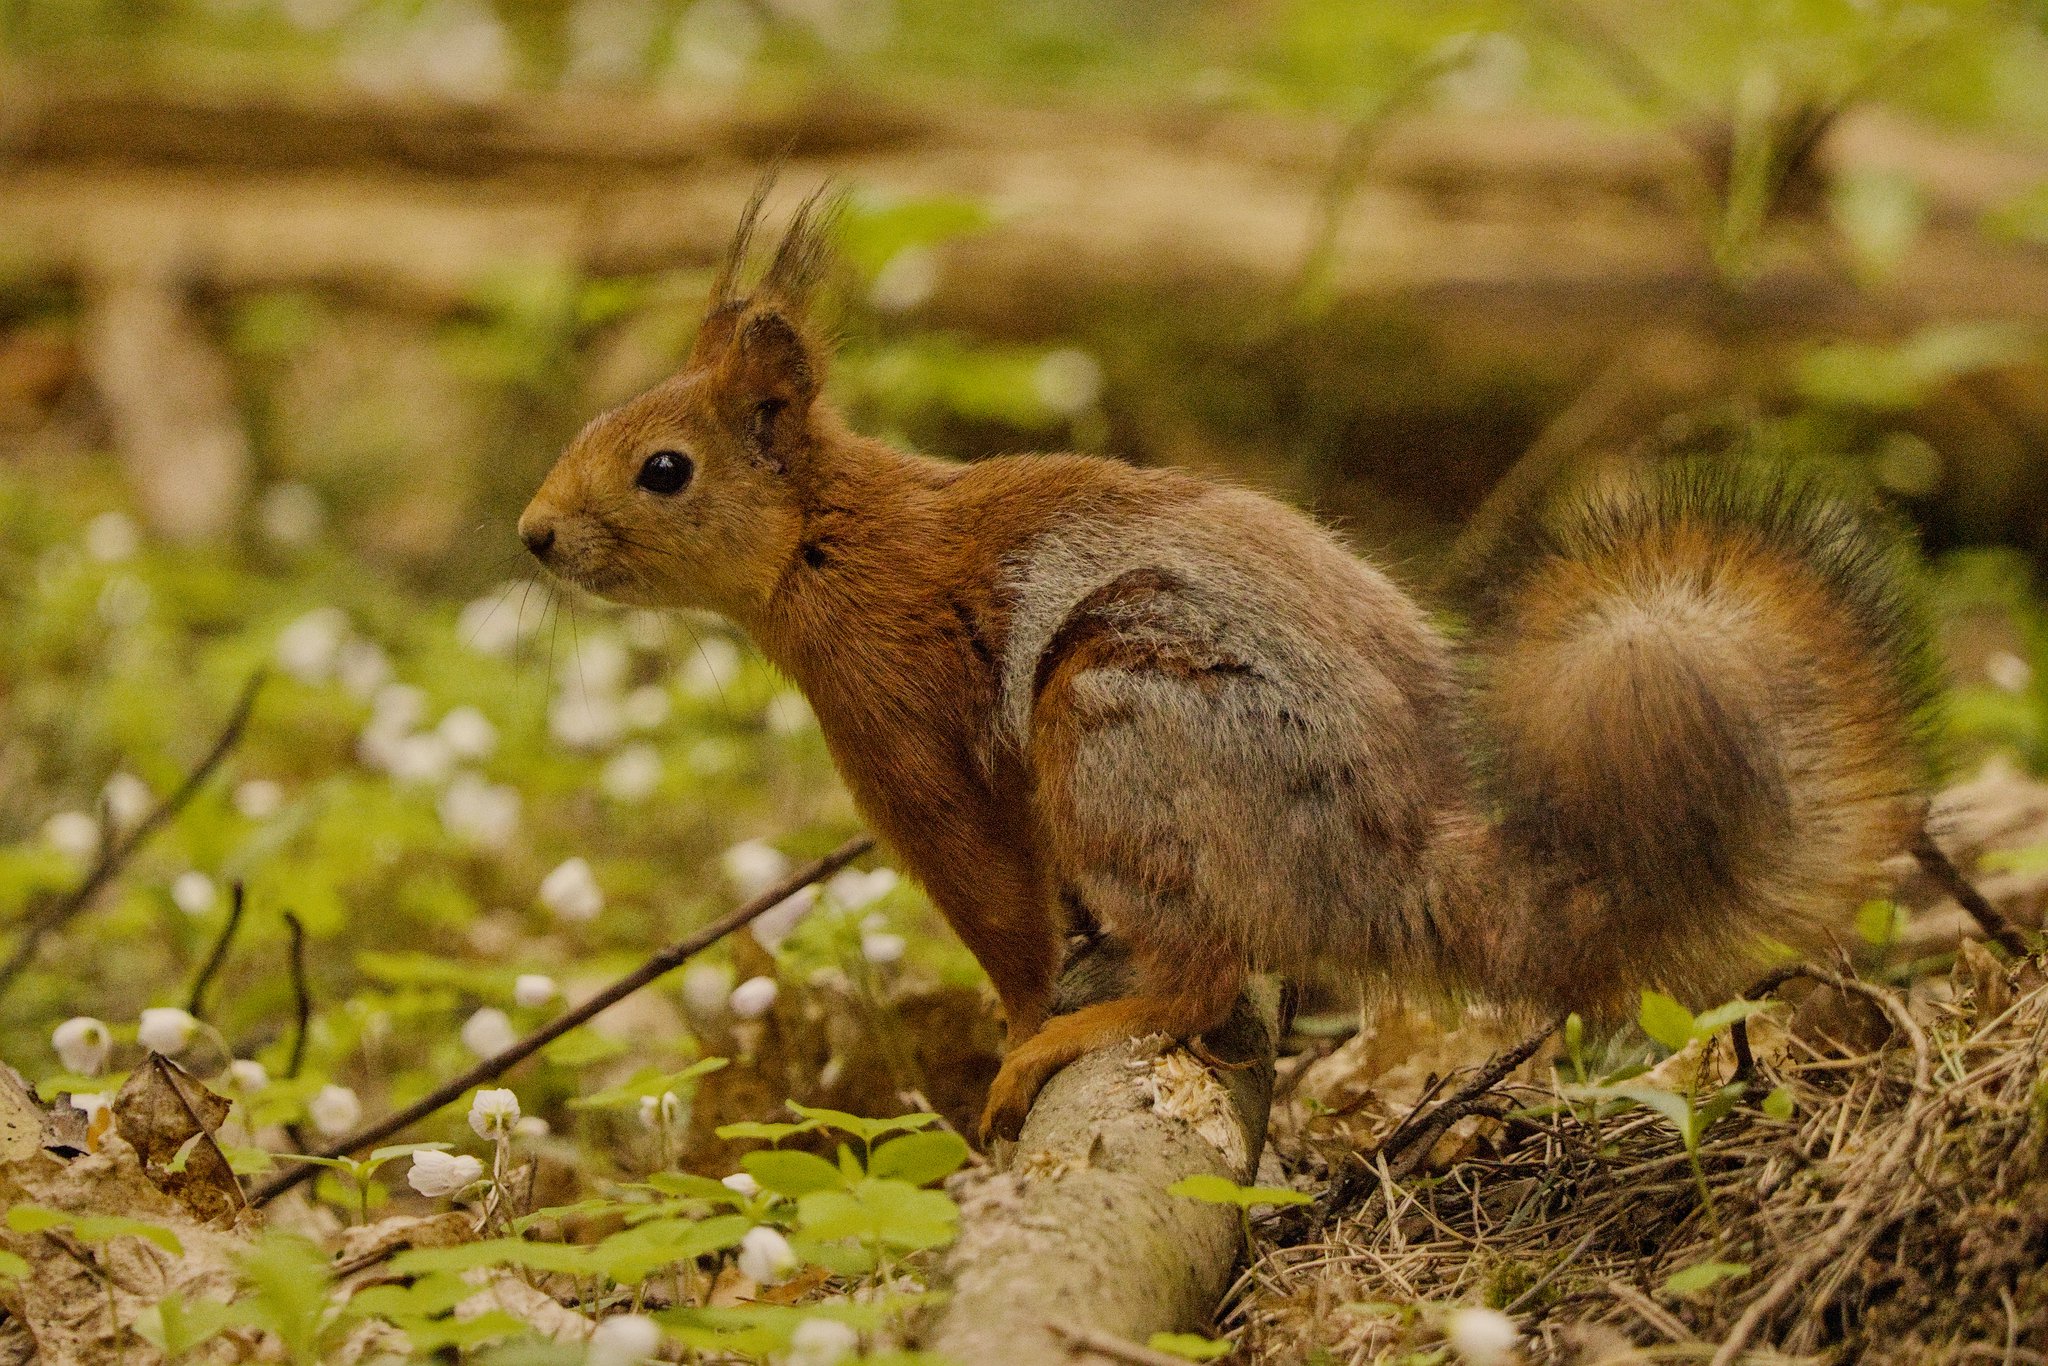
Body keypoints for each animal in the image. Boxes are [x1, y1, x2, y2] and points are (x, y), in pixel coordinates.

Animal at [519, 184, 1974, 1142]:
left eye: (663, 468)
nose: (533, 534)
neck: (829, 537)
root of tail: (1391, 865)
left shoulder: (904, 730)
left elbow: (993, 899)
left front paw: (1018, 1020)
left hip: (1114, 727)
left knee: (1203, 974)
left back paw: (1083, 1028)